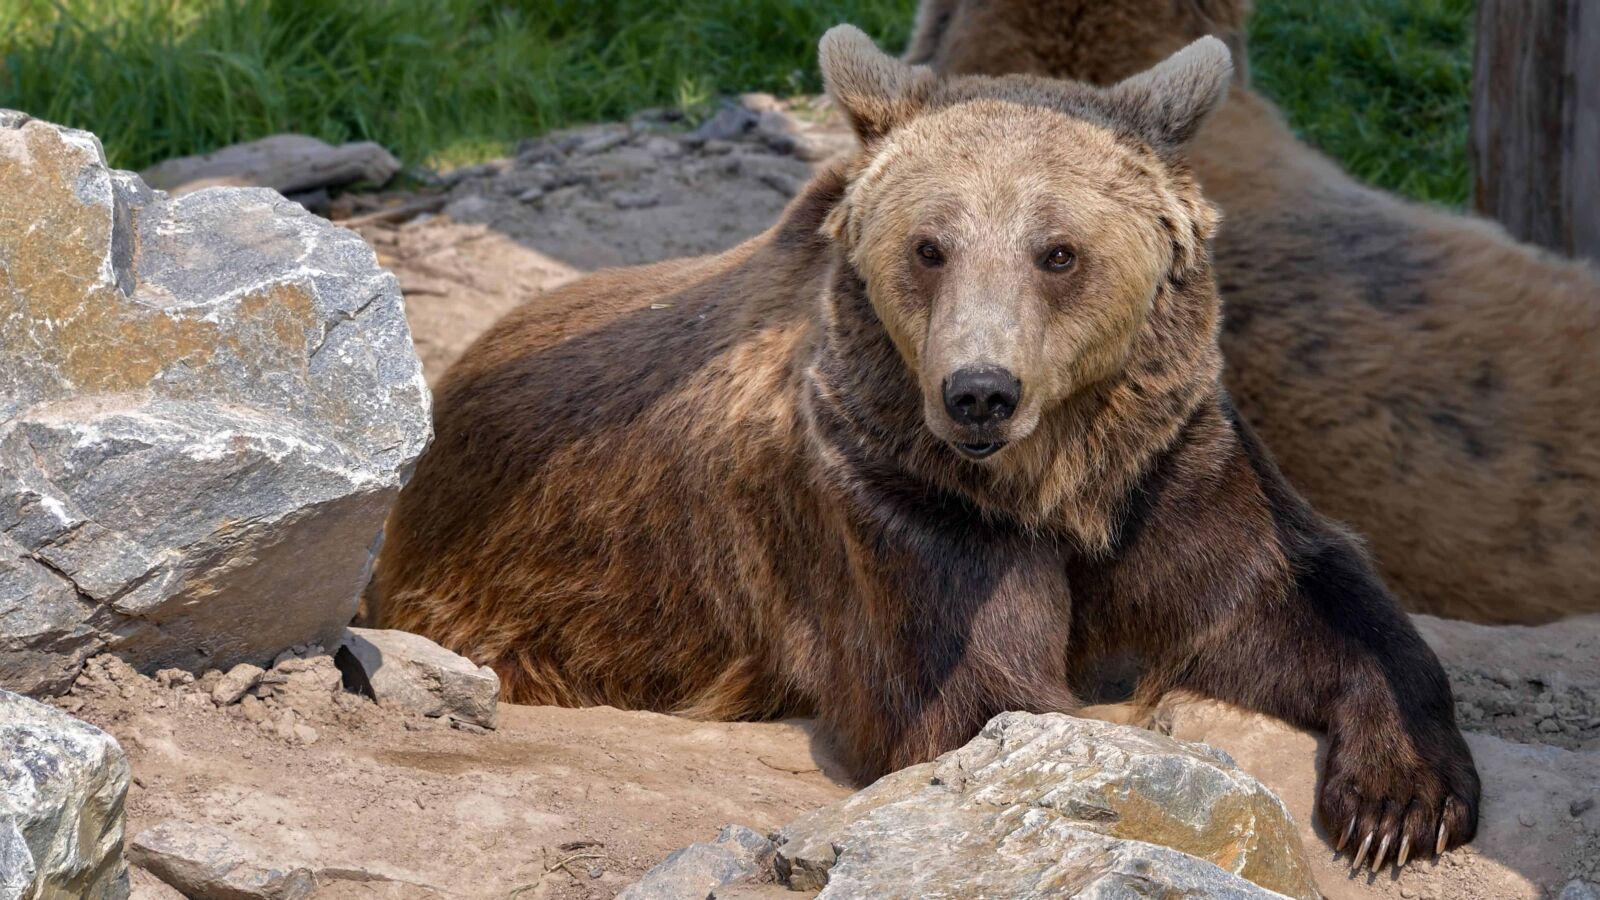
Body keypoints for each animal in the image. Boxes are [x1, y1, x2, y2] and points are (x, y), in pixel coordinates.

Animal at [375, 27, 1478, 870]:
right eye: (929, 246)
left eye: (1058, 251)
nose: (978, 390)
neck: (1054, 482)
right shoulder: (894, 502)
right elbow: (982, 701)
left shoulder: (1165, 468)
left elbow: (1286, 596)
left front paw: (1401, 803)